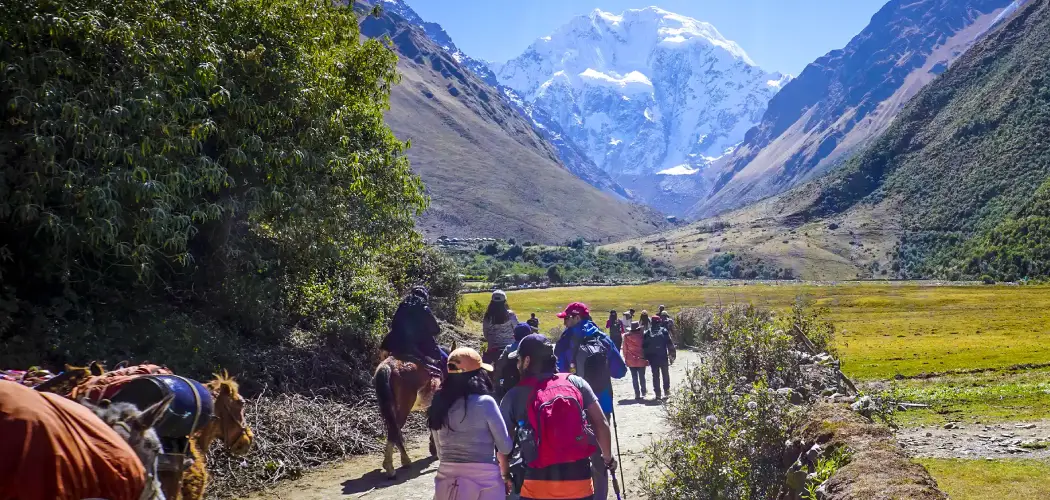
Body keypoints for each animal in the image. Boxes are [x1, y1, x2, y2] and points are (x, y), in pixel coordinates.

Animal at [377, 342, 455, 478]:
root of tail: (388, 366)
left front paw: (433, 449)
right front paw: (434, 450)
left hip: (388, 408)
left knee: (394, 430)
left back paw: (403, 461)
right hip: (404, 407)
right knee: (394, 430)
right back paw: (392, 467)